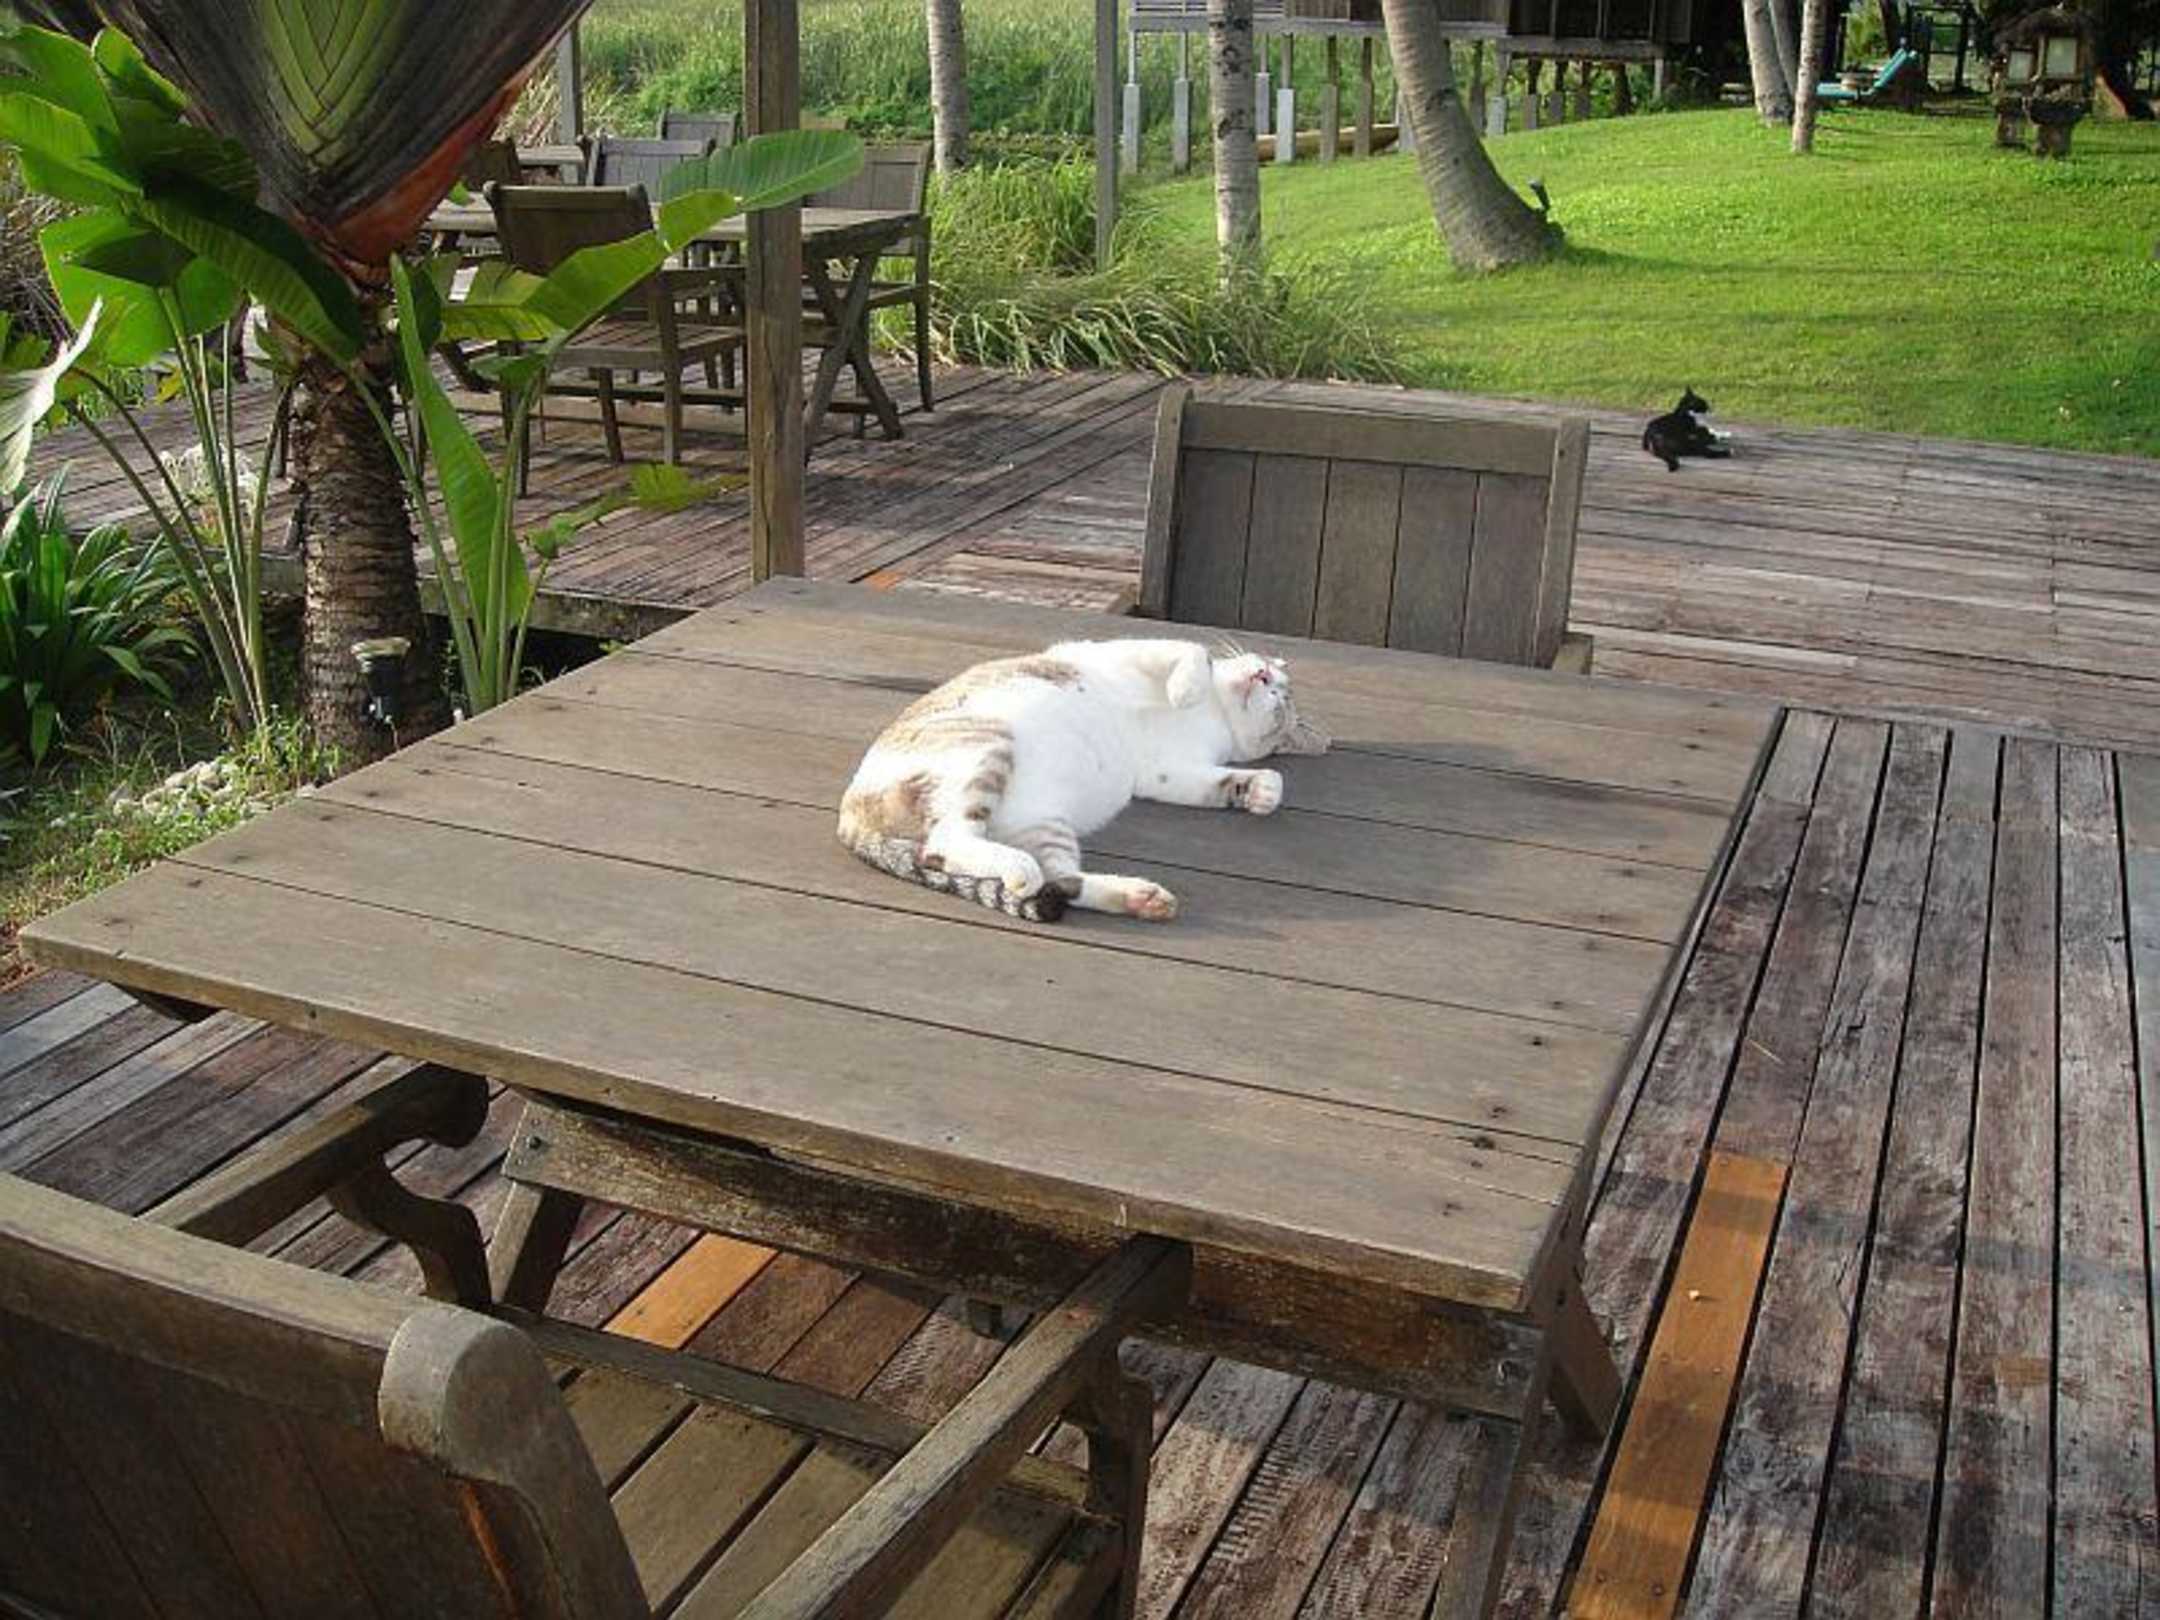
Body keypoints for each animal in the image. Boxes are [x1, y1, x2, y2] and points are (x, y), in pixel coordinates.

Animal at [838, 639, 1329, 923]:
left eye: (1279, 700)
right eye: (1271, 677)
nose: (1264, 675)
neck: (1215, 712)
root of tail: (849, 812)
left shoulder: (1167, 770)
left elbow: (1235, 780)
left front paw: (1262, 791)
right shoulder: (1130, 651)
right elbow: (1196, 654)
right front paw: (1186, 688)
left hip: (1042, 823)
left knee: (1057, 877)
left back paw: (1138, 897)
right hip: (990, 744)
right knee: (948, 841)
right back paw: (1022, 870)